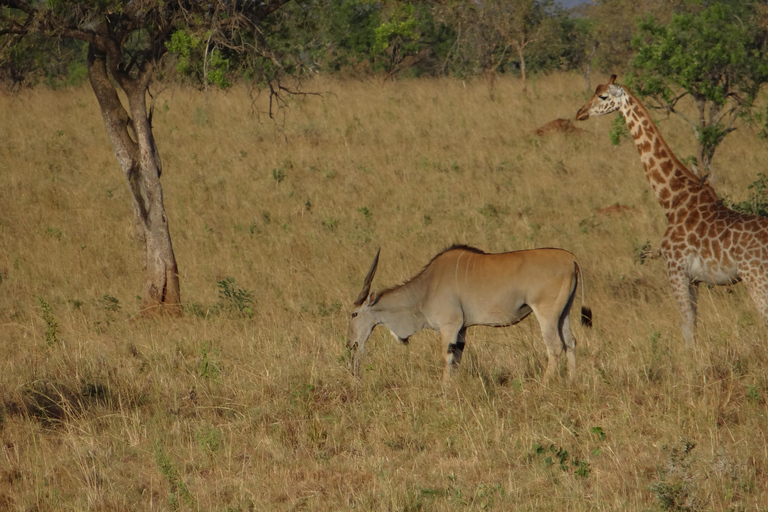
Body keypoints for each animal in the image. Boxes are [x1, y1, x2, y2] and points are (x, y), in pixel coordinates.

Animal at [348, 245, 592, 384]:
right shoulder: (462, 330)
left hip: (547, 315)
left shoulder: (450, 326)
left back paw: (542, 387)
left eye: (353, 314)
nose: (351, 345)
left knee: (555, 347)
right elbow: (456, 358)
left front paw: (444, 392)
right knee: (570, 343)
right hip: (563, 315)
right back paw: (573, 383)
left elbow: (447, 358)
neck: (426, 288)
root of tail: (570, 258)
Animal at [576, 74, 768, 344]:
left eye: (603, 96)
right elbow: (693, 324)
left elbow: (687, 327)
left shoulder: (676, 270)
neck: (672, 200)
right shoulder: (694, 279)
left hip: (756, 278)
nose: (580, 113)